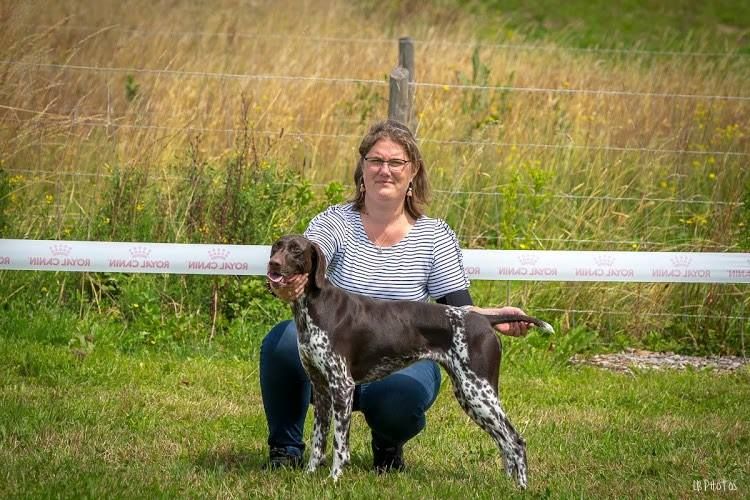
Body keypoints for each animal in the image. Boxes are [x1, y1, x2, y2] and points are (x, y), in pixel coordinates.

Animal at [268, 235, 556, 488]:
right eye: (277, 246)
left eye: (296, 250)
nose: (273, 264)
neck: (315, 307)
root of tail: (483, 319)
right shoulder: (321, 390)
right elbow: (318, 441)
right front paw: (309, 475)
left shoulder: (342, 387)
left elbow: (340, 445)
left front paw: (334, 479)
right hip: (470, 396)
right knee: (504, 442)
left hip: (479, 393)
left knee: (515, 441)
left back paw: (521, 487)